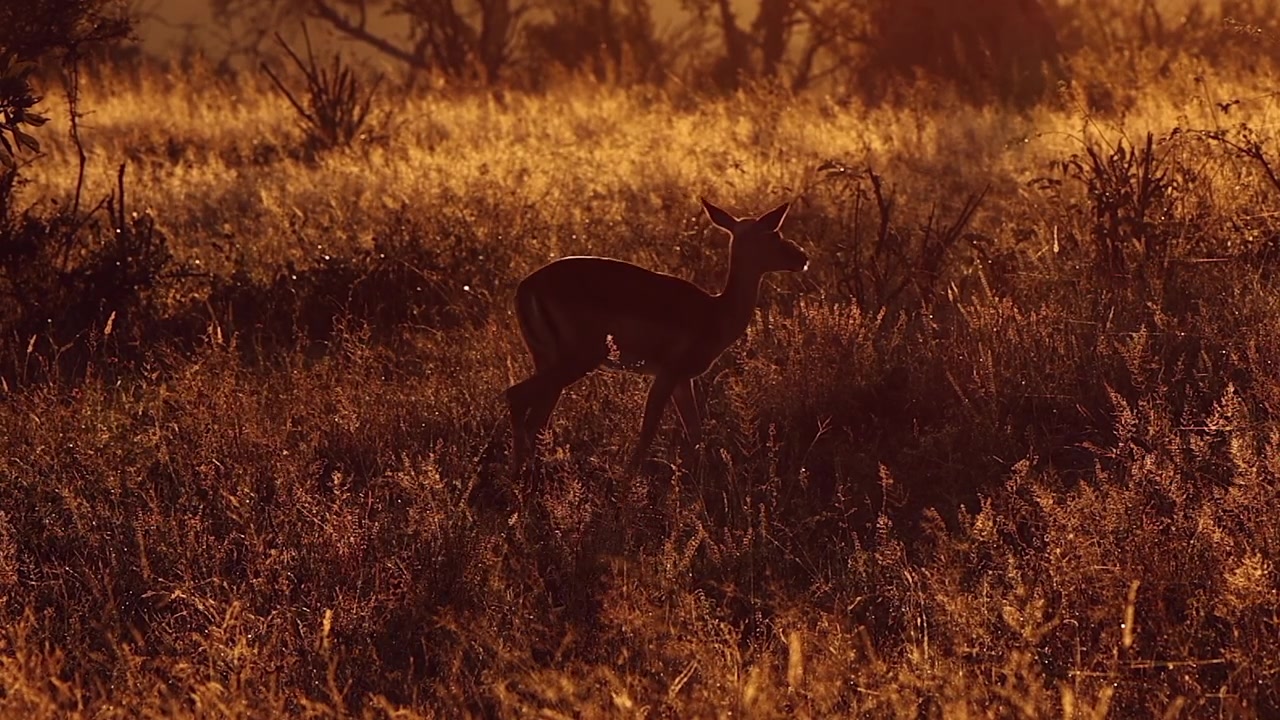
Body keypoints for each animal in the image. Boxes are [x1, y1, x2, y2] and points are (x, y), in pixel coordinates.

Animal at [506, 198, 808, 474]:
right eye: (774, 233)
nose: (802, 257)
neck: (716, 312)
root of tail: (526, 286)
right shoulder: (667, 373)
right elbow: (649, 429)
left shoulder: (682, 381)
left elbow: (694, 431)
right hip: (577, 361)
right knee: (516, 398)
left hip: (549, 362)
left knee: (536, 419)